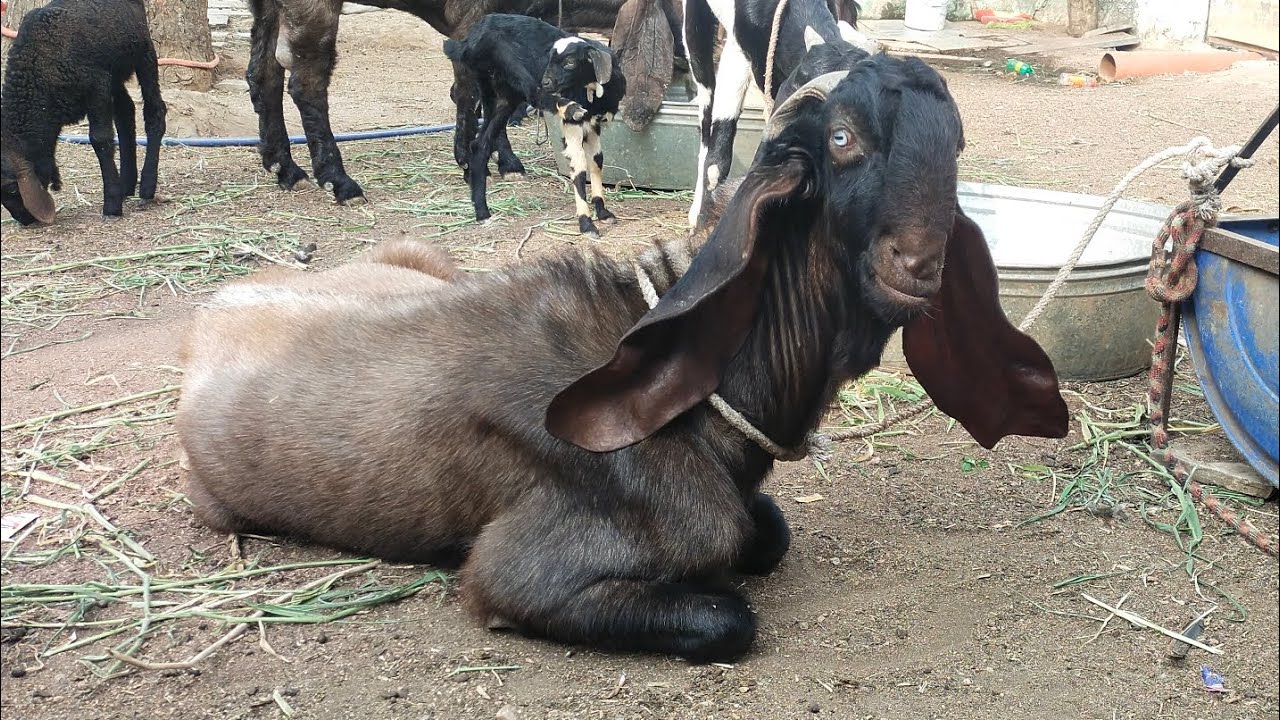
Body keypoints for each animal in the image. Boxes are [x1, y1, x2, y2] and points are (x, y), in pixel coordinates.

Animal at [0, 0, 166, 225]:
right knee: (126, 111)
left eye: (11, 188)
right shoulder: (102, 83)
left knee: (154, 112)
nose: (24, 220)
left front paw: (112, 205)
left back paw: (147, 188)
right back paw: (126, 184)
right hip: (114, 73)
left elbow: (100, 139)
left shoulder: (97, 85)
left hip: (143, 53)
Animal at [176, 54, 1069, 663]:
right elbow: (726, 614)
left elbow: (769, 532)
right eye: (844, 139)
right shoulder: (521, 572)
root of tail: (213, 315)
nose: (919, 263)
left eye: (956, 144)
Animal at [444, 15, 625, 237]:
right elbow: (579, 167)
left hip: (501, 96)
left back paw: (482, 213)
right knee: (533, 93)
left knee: (481, 145)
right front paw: (586, 224)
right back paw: (569, 107)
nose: (546, 82)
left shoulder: (594, 125)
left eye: (570, 62)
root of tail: (470, 40)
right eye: (549, 60)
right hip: (510, 66)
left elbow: (597, 161)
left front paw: (603, 212)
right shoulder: (573, 125)